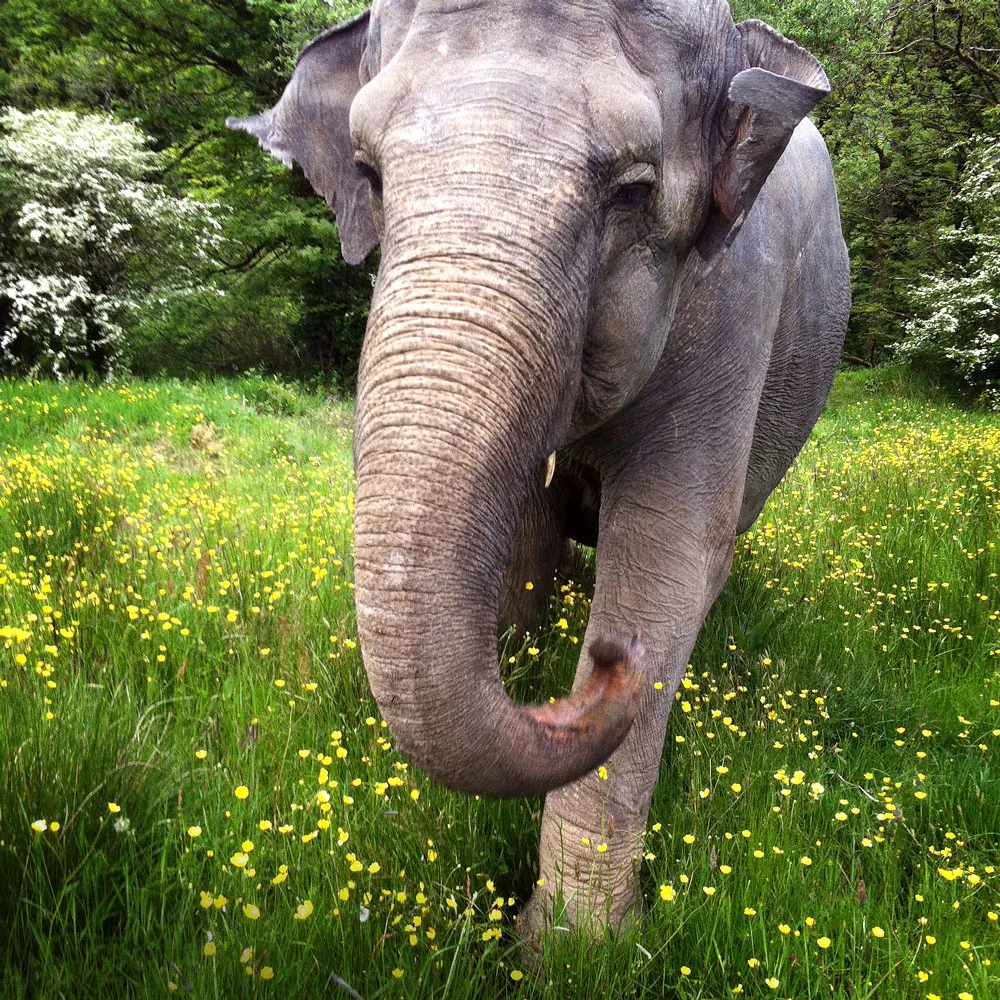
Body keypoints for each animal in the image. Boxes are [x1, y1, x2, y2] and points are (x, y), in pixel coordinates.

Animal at [228, 0, 850, 937]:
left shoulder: (738, 302)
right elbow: (524, 537)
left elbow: (665, 556)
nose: (609, 661)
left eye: (632, 192)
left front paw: (571, 946)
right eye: (369, 174)